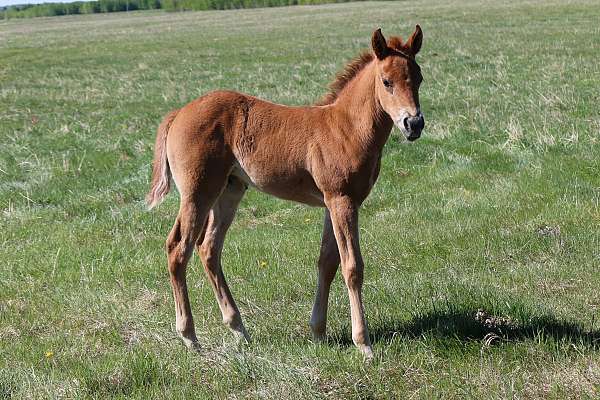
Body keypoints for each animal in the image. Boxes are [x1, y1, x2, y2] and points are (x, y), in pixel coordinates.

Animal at [147, 26, 424, 356]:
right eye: (386, 81)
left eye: (419, 78)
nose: (413, 123)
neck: (346, 127)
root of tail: (178, 113)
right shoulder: (342, 200)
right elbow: (352, 267)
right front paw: (363, 344)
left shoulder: (334, 203)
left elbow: (327, 262)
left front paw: (318, 331)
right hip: (198, 193)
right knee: (178, 248)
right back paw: (190, 336)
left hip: (229, 191)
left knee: (208, 248)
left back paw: (239, 329)